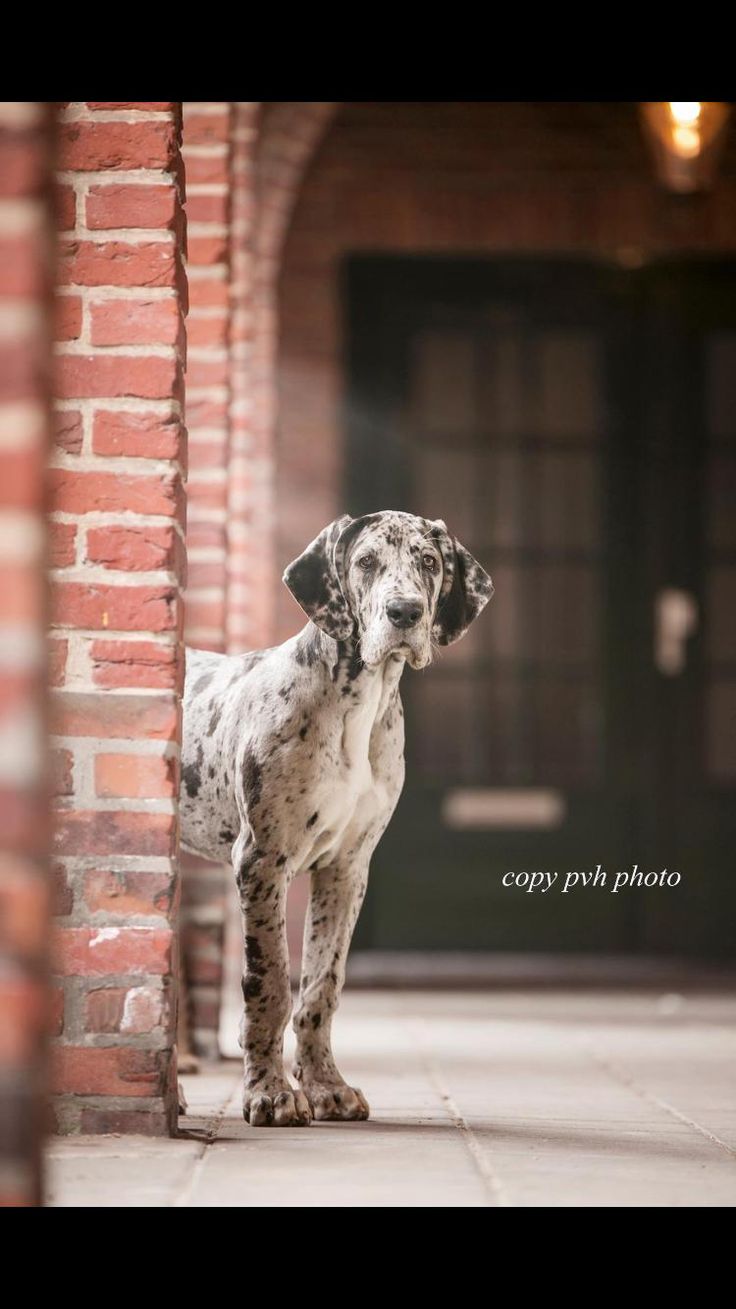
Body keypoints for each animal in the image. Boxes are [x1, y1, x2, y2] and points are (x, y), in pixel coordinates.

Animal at [179, 510, 492, 1125]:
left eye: (429, 561)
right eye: (365, 562)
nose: (405, 613)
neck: (357, 705)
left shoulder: (347, 870)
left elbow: (322, 985)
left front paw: (325, 1086)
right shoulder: (262, 862)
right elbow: (271, 981)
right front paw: (270, 1092)